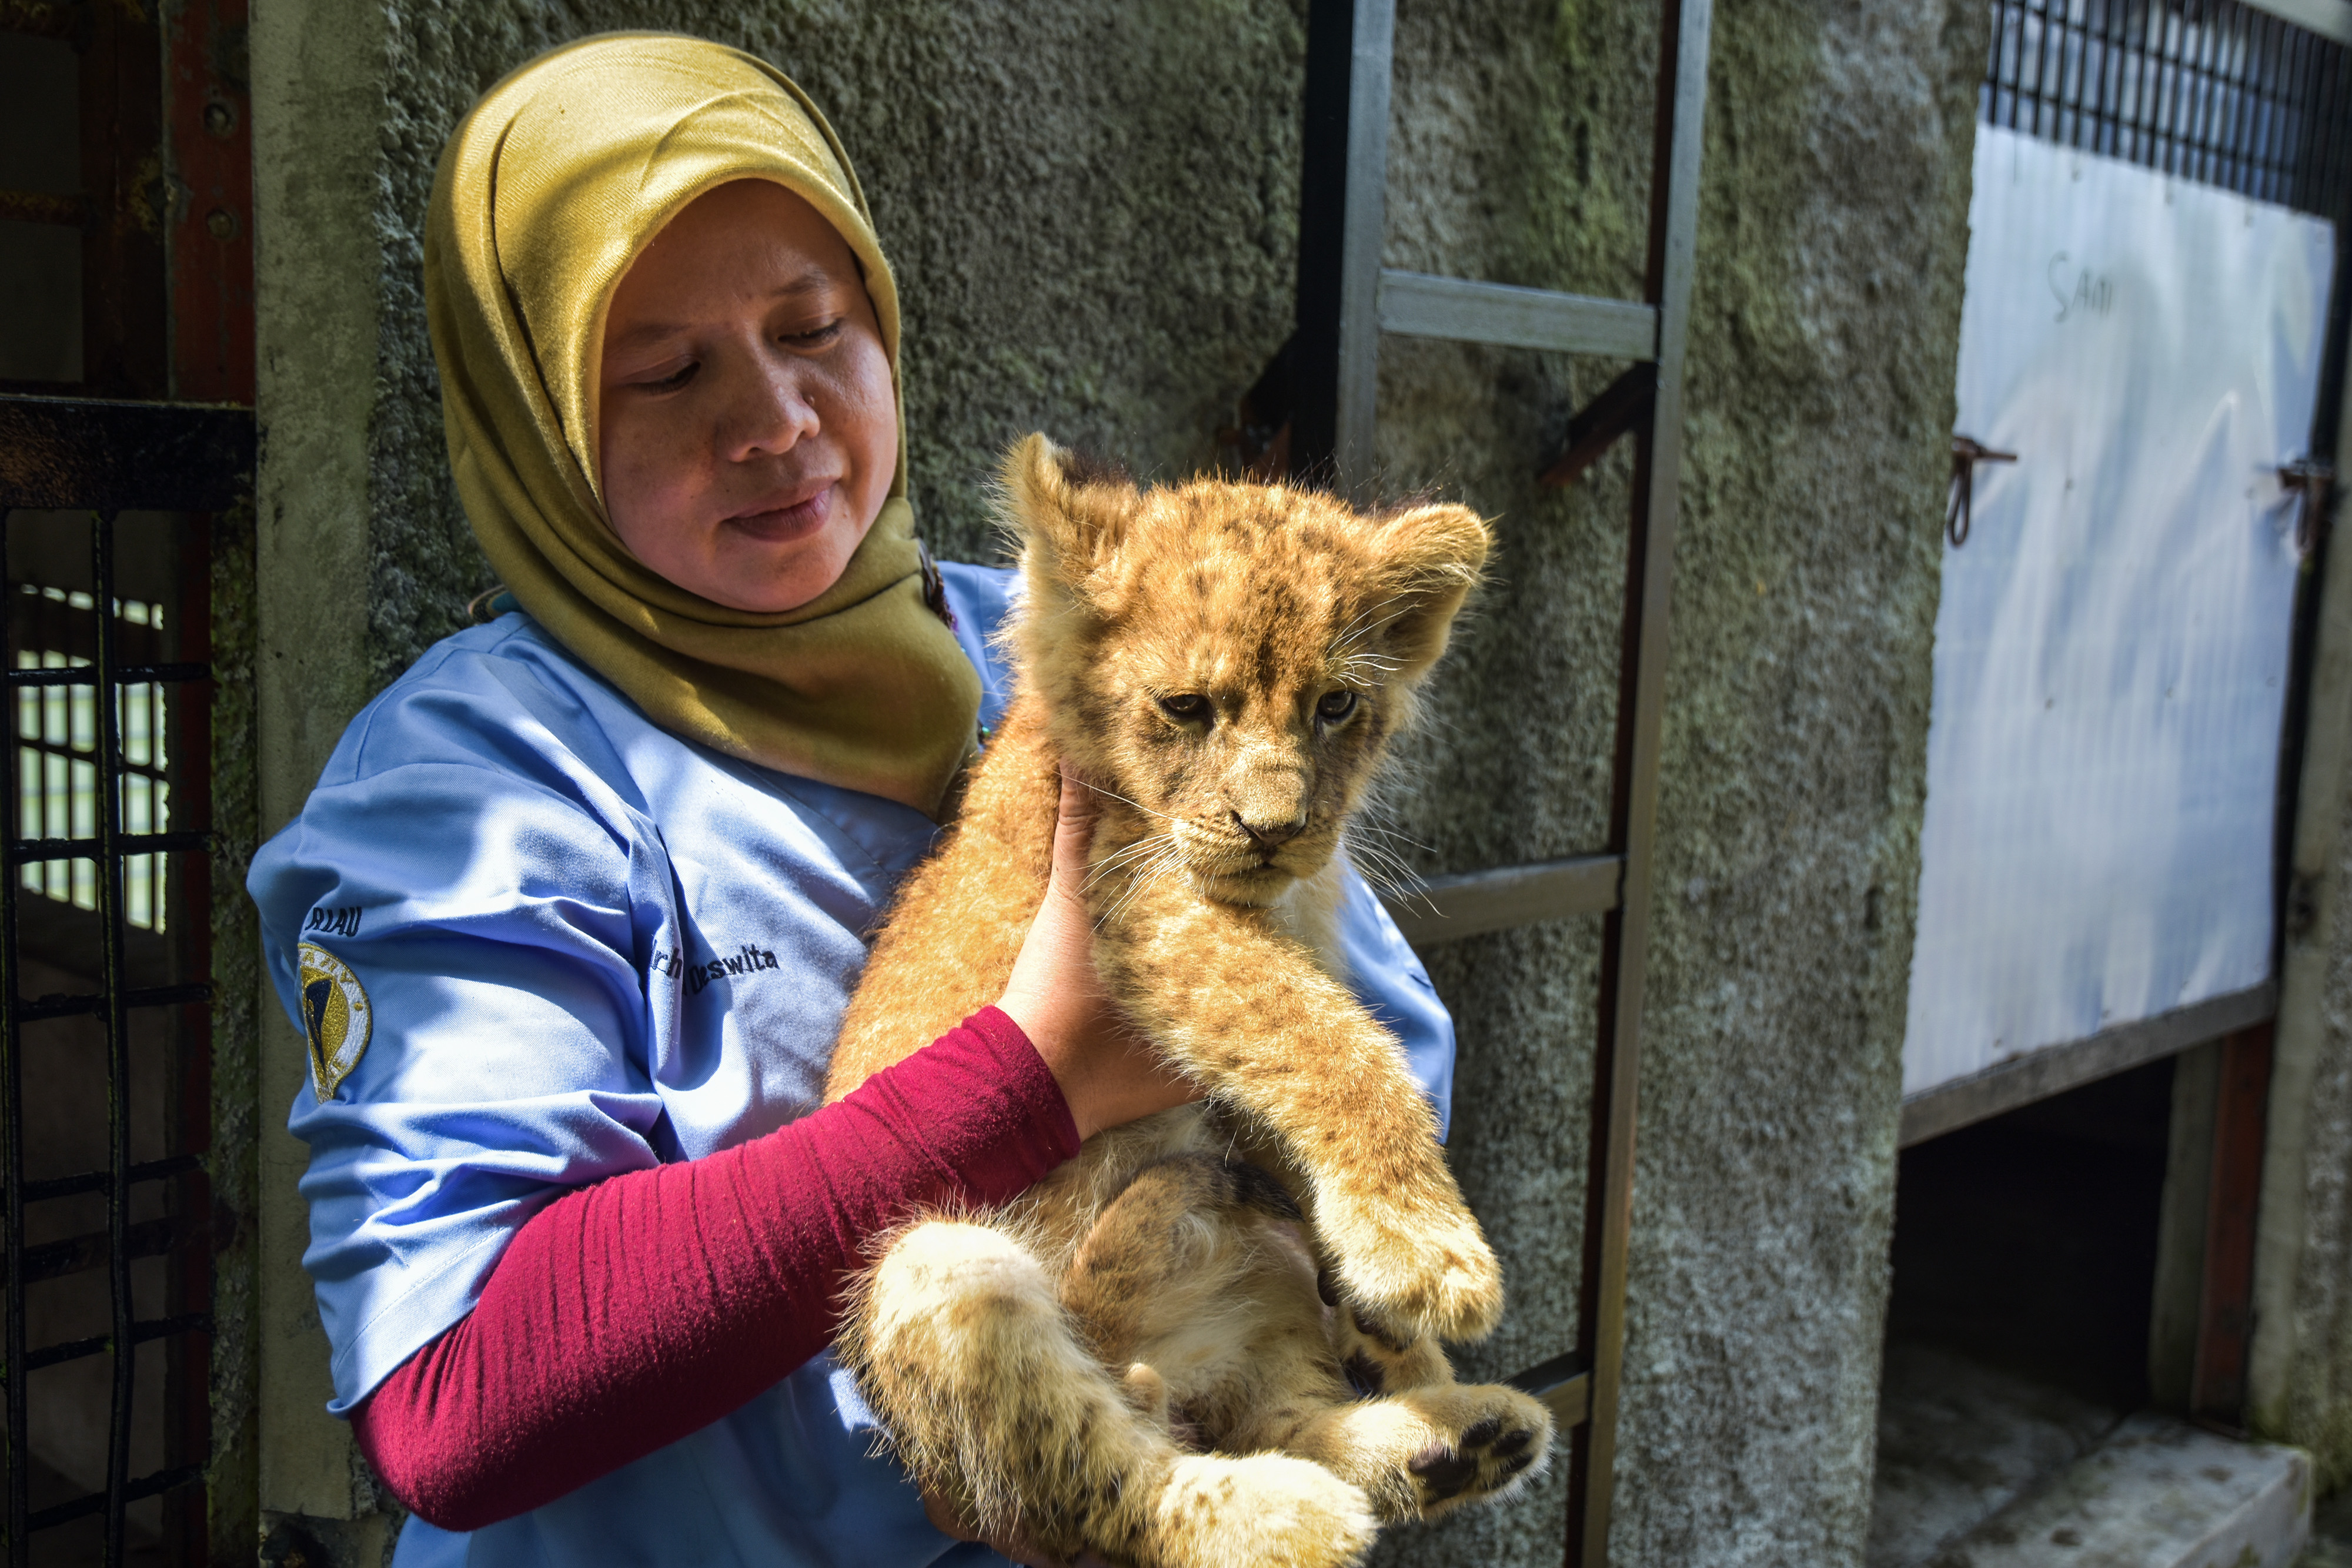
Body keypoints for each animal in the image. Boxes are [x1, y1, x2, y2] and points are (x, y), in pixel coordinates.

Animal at [825, 435, 1553, 1568]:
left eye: (1337, 706)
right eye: (1186, 708)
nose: (1277, 828)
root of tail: (1170, 1357)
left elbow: (1302, 1091)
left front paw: (1398, 1326)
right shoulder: (1138, 914)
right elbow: (1329, 1034)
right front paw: (1426, 1253)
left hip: (1262, 1300)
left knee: (1275, 1416)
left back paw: (1459, 1437)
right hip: (937, 1267)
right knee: (1105, 1476)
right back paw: (1282, 1517)